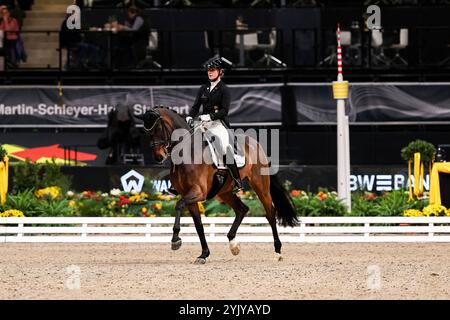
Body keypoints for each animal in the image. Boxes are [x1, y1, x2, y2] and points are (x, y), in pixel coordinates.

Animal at [142, 107, 298, 264]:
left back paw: (277, 251)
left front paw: (175, 240)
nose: (159, 157)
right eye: (147, 131)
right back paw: (233, 245)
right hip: (225, 192)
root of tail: (256, 144)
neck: (187, 153)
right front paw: (203, 254)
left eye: (158, 128)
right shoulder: (189, 196)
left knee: (270, 213)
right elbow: (198, 225)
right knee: (242, 209)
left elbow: (179, 205)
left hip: (260, 185)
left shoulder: (198, 192)